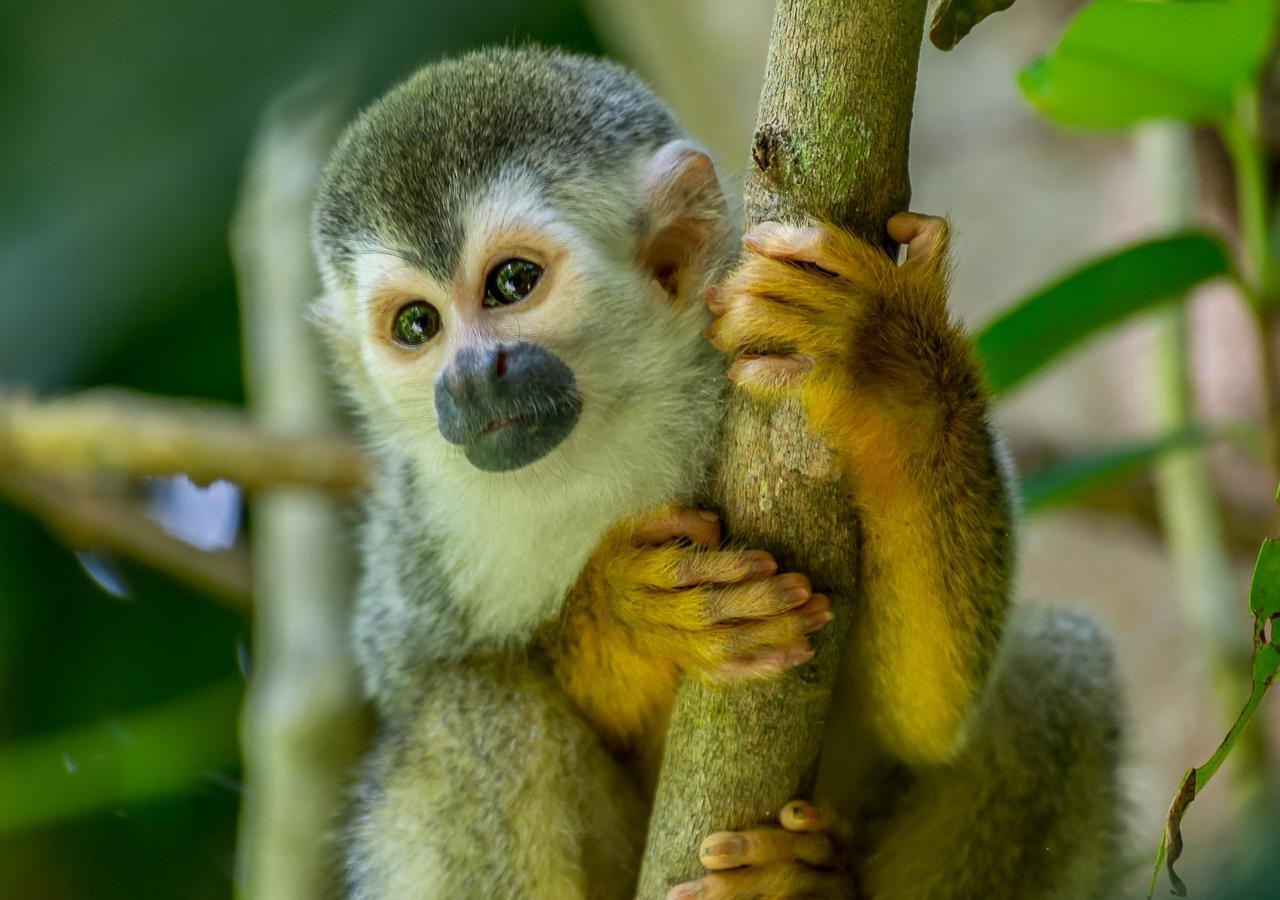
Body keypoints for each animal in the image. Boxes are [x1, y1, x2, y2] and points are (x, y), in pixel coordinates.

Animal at [312, 49, 1121, 900]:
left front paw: (887, 369)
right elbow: (429, 677)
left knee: (1055, 672)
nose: (470, 378)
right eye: (417, 326)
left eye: (511, 282)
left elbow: (924, 717)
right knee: (469, 715)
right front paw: (629, 612)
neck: (610, 435)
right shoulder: (424, 535)